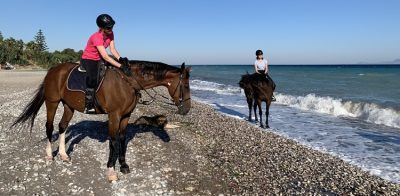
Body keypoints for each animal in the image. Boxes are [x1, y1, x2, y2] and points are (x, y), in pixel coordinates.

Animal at [10, 60, 189, 181]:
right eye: (185, 86)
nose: (186, 110)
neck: (128, 82)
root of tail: (53, 70)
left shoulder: (126, 116)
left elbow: (122, 139)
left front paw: (123, 165)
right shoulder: (114, 116)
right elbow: (114, 141)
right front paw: (111, 170)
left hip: (68, 106)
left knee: (62, 126)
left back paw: (63, 154)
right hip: (52, 102)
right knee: (49, 127)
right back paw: (49, 155)